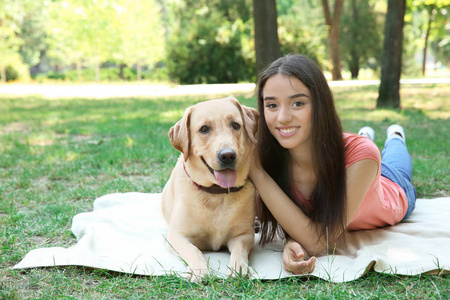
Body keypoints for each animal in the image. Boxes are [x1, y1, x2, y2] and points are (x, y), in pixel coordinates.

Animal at [162, 96, 260, 282]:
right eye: (204, 129)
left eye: (235, 125)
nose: (228, 155)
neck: (217, 194)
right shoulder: (177, 236)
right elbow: (193, 250)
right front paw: (198, 270)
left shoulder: (243, 235)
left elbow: (239, 249)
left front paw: (239, 267)